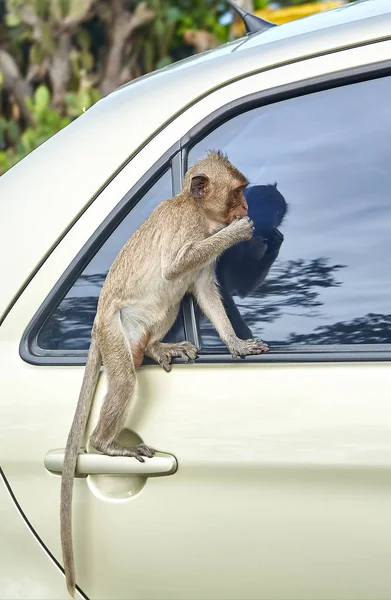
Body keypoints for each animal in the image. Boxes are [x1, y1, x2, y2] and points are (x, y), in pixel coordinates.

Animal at [60, 149, 270, 596]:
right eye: (239, 192)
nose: (246, 208)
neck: (199, 213)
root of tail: (96, 324)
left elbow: (202, 288)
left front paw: (236, 344)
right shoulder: (187, 227)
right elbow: (177, 267)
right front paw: (237, 232)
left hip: (139, 328)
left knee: (169, 304)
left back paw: (159, 347)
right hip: (115, 332)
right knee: (124, 379)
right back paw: (107, 445)